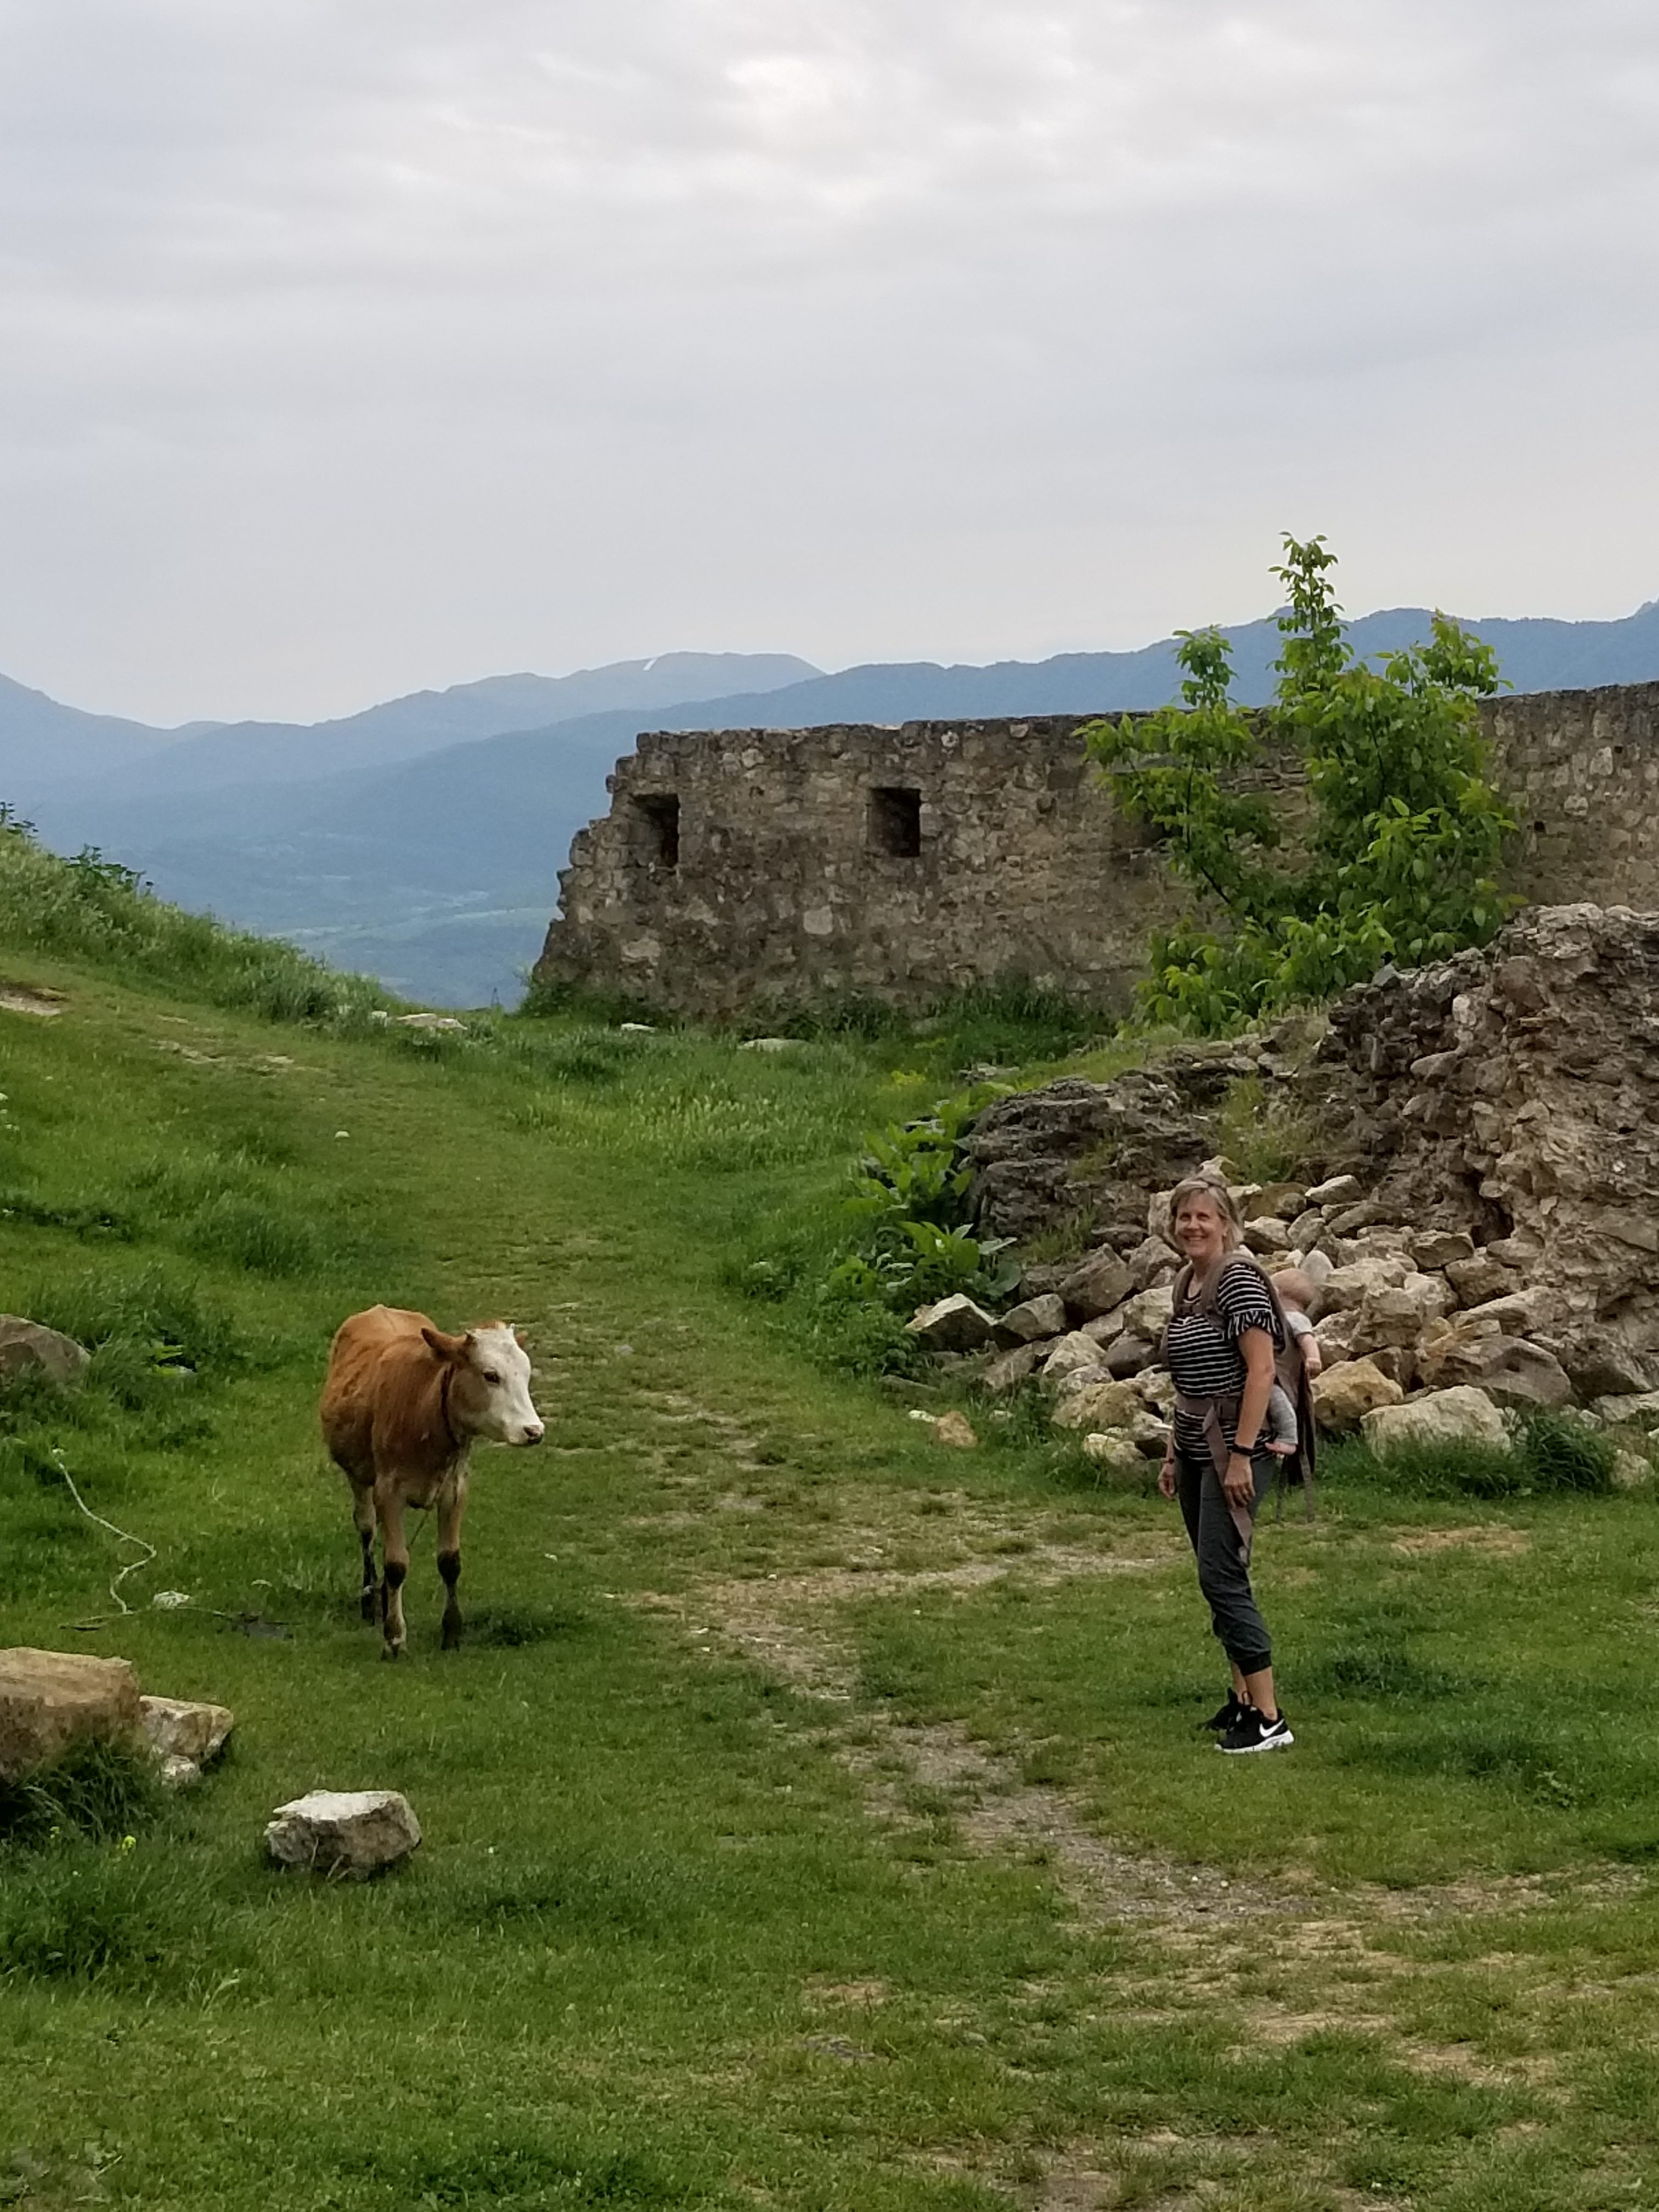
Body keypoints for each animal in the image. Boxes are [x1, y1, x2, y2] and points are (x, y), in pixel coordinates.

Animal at [320, 1305, 545, 1657]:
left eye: (526, 1373)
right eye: (490, 1375)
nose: (534, 1431)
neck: (424, 1412)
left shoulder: (455, 1489)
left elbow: (449, 1562)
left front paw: (452, 1631)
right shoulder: (388, 1491)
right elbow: (396, 1564)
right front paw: (394, 1637)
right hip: (358, 1478)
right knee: (367, 1530)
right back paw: (371, 1600)